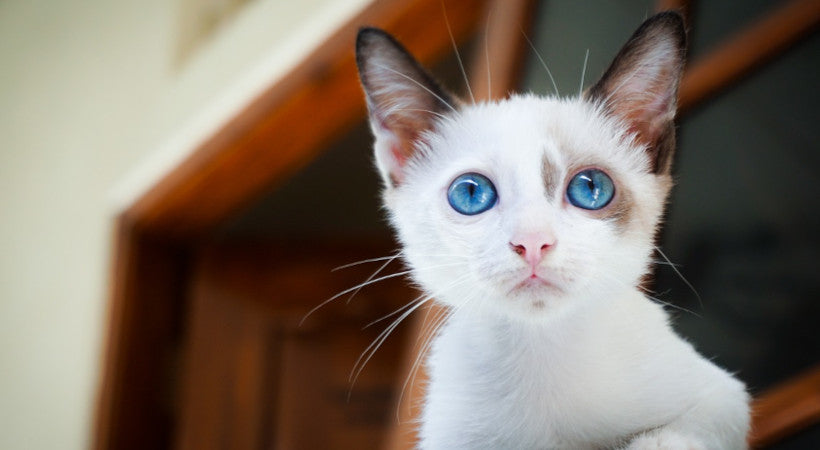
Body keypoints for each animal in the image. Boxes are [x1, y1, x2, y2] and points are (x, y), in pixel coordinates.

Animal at [352, 12, 748, 448]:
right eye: (471, 193)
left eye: (590, 188)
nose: (532, 242)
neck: (541, 353)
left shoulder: (723, 396)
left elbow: (671, 435)